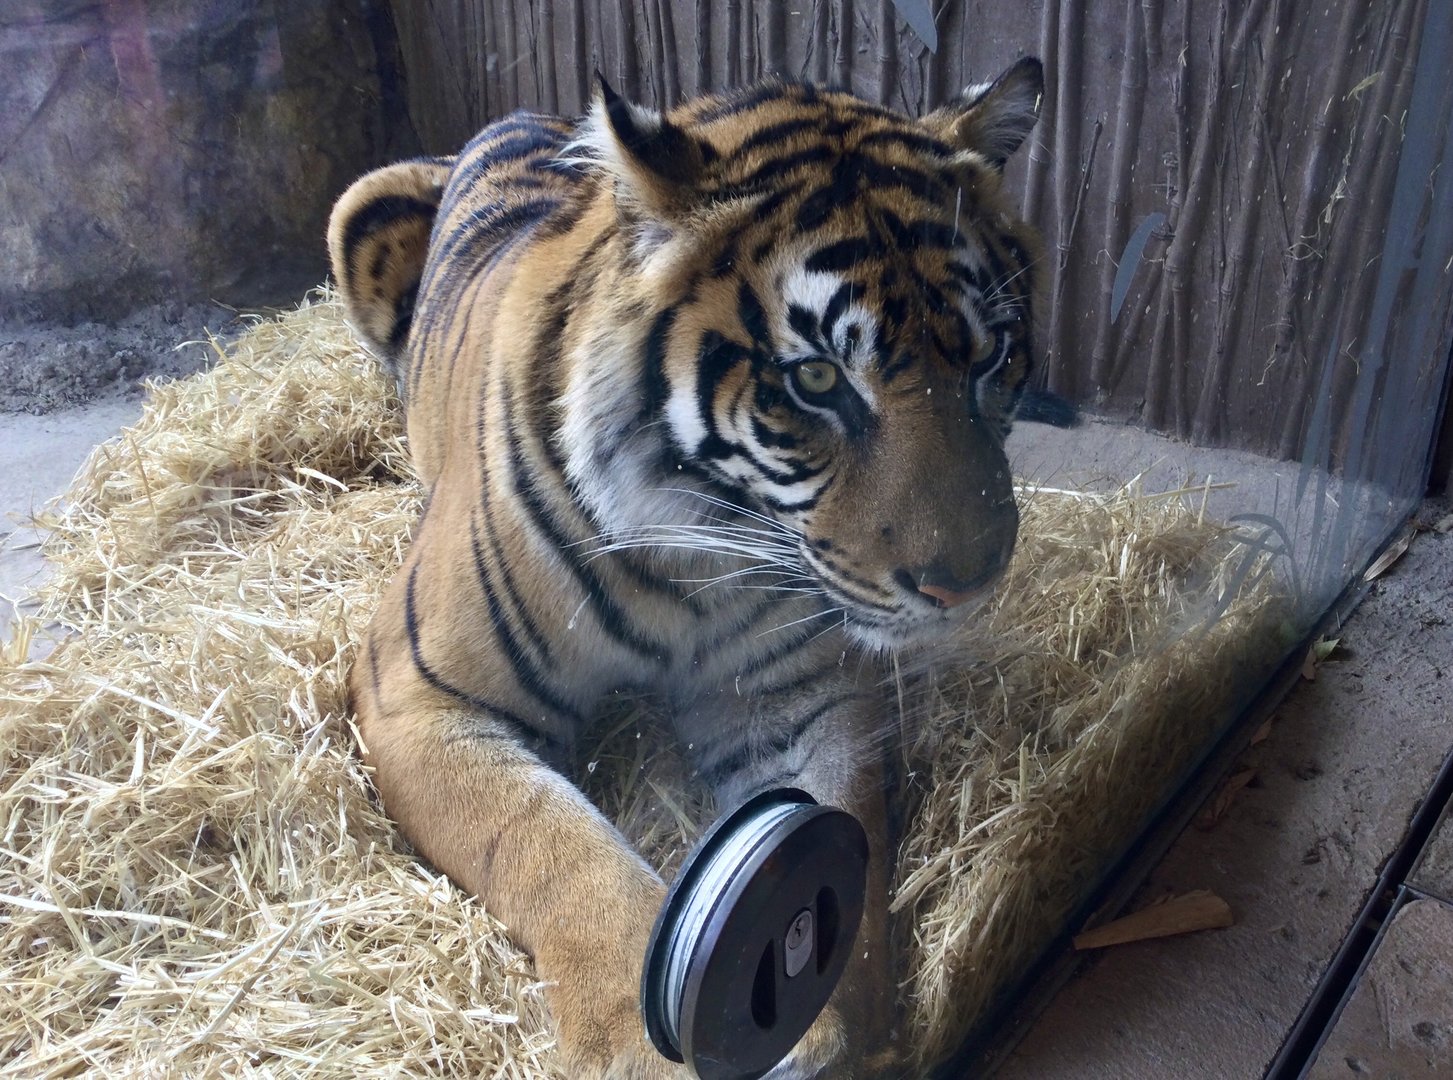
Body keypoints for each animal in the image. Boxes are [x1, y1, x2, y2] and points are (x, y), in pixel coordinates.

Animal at [327, 57, 1048, 1079]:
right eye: (816, 380)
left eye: (991, 356)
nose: (969, 583)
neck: (691, 547)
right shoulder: (420, 697)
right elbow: (548, 843)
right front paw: (644, 1048)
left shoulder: (795, 694)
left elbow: (843, 827)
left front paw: (830, 1025)